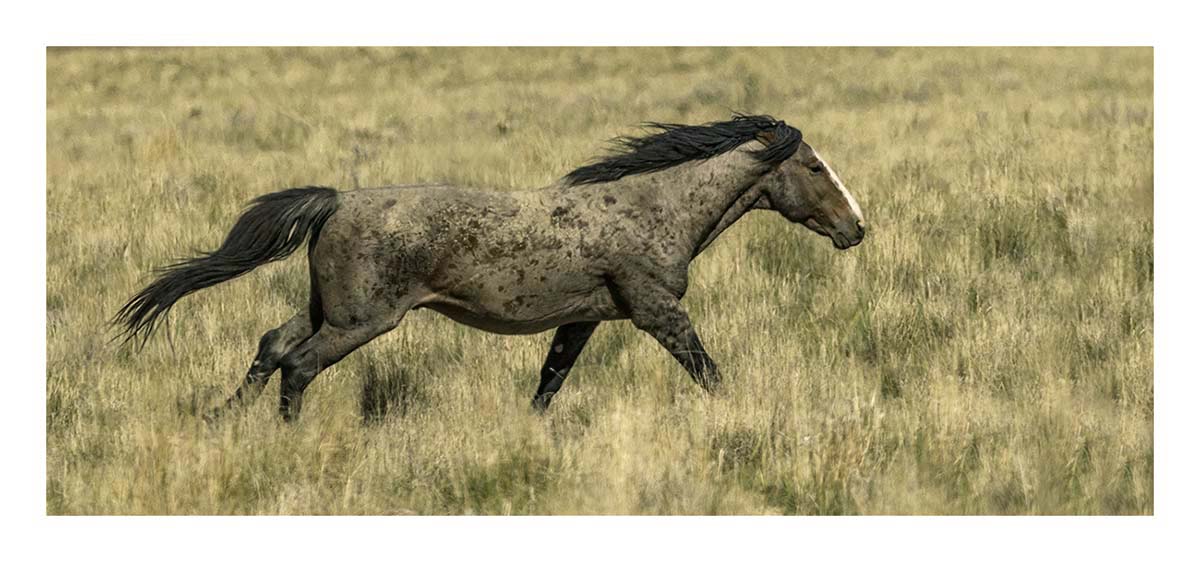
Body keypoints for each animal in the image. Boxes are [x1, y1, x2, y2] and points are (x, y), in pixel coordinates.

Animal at [115, 114, 865, 422]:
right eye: (814, 166)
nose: (856, 228)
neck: (655, 206)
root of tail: (335, 201)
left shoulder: (586, 320)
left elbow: (549, 383)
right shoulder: (657, 311)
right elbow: (708, 371)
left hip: (328, 307)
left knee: (272, 345)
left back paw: (219, 419)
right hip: (362, 319)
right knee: (298, 365)